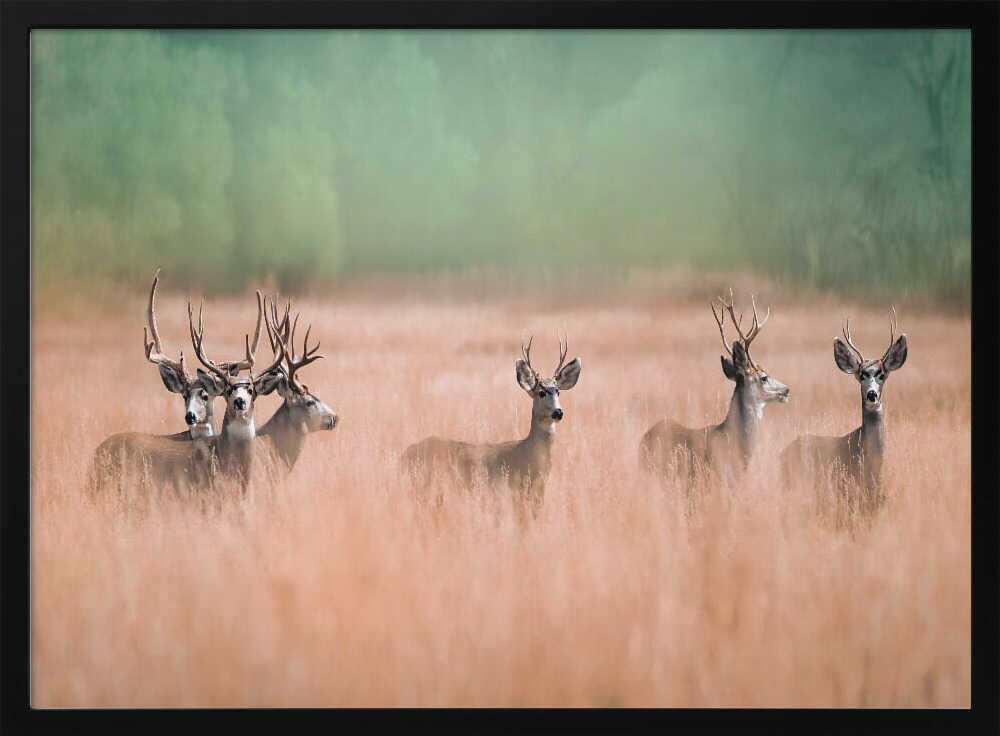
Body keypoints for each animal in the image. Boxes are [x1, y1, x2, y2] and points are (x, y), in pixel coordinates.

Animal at [402, 336, 582, 516]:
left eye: (558, 391)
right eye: (541, 392)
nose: (558, 412)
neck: (529, 453)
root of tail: (404, 455)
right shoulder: (516, 488)